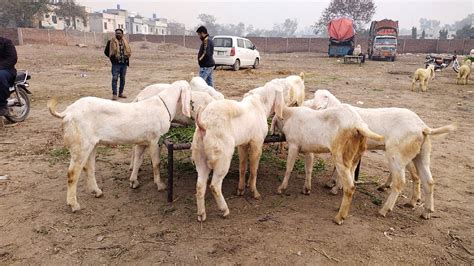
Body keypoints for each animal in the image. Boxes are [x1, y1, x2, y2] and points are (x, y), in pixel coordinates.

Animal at [47, 80, 190, 211]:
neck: (164, 104)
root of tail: (67, 113)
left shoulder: (142, 141)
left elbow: (138, 160)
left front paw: (134, 182)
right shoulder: (155, 140)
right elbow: (156, 163)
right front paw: (160, 185)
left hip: (91, 144)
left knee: (89, 168)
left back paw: (97, 192)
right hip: (80, 144)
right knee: (72, 173)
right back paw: (74, 205)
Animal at [274, 92, 386, 223]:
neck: (290, 115)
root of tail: (358, 123)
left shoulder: (293, 145)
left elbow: (289, 168)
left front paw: (281, 188)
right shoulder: (308, 149)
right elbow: (308, 168)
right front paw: (306, 189)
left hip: (340, 157)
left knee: (350, 187)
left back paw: (339, 217)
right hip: (355, 156)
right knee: (350, 182)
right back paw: (340, 207)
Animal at [310, 90, 458, 219]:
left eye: (326, 97)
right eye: (314, 94)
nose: (316, 106)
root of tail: (423, 127)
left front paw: (335, 187)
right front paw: (335, 184)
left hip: (398, 154)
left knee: (400, 182)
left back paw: (385, 209)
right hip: (421, 154)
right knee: (429, 181)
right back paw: (425, 211)